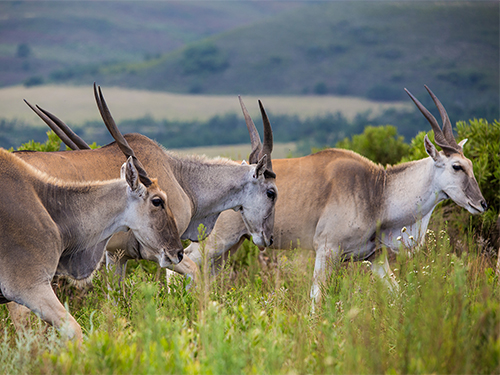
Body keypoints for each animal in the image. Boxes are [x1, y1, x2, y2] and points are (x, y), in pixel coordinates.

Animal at [19, 85, 278, 284]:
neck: (180, 177)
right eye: (272, 192)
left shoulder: (117, 256)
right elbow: (192, 276)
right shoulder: (161, 252)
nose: (269, 238)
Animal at [183, 86, 484, 304]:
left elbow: (397, 293)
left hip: (228, 249)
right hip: (216, 243)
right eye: (457, 166)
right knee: (185, 263)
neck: (378, 190)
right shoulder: (327, 251)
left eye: (470, 164)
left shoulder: (375, 258)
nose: (482, 204)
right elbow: (316, 302)